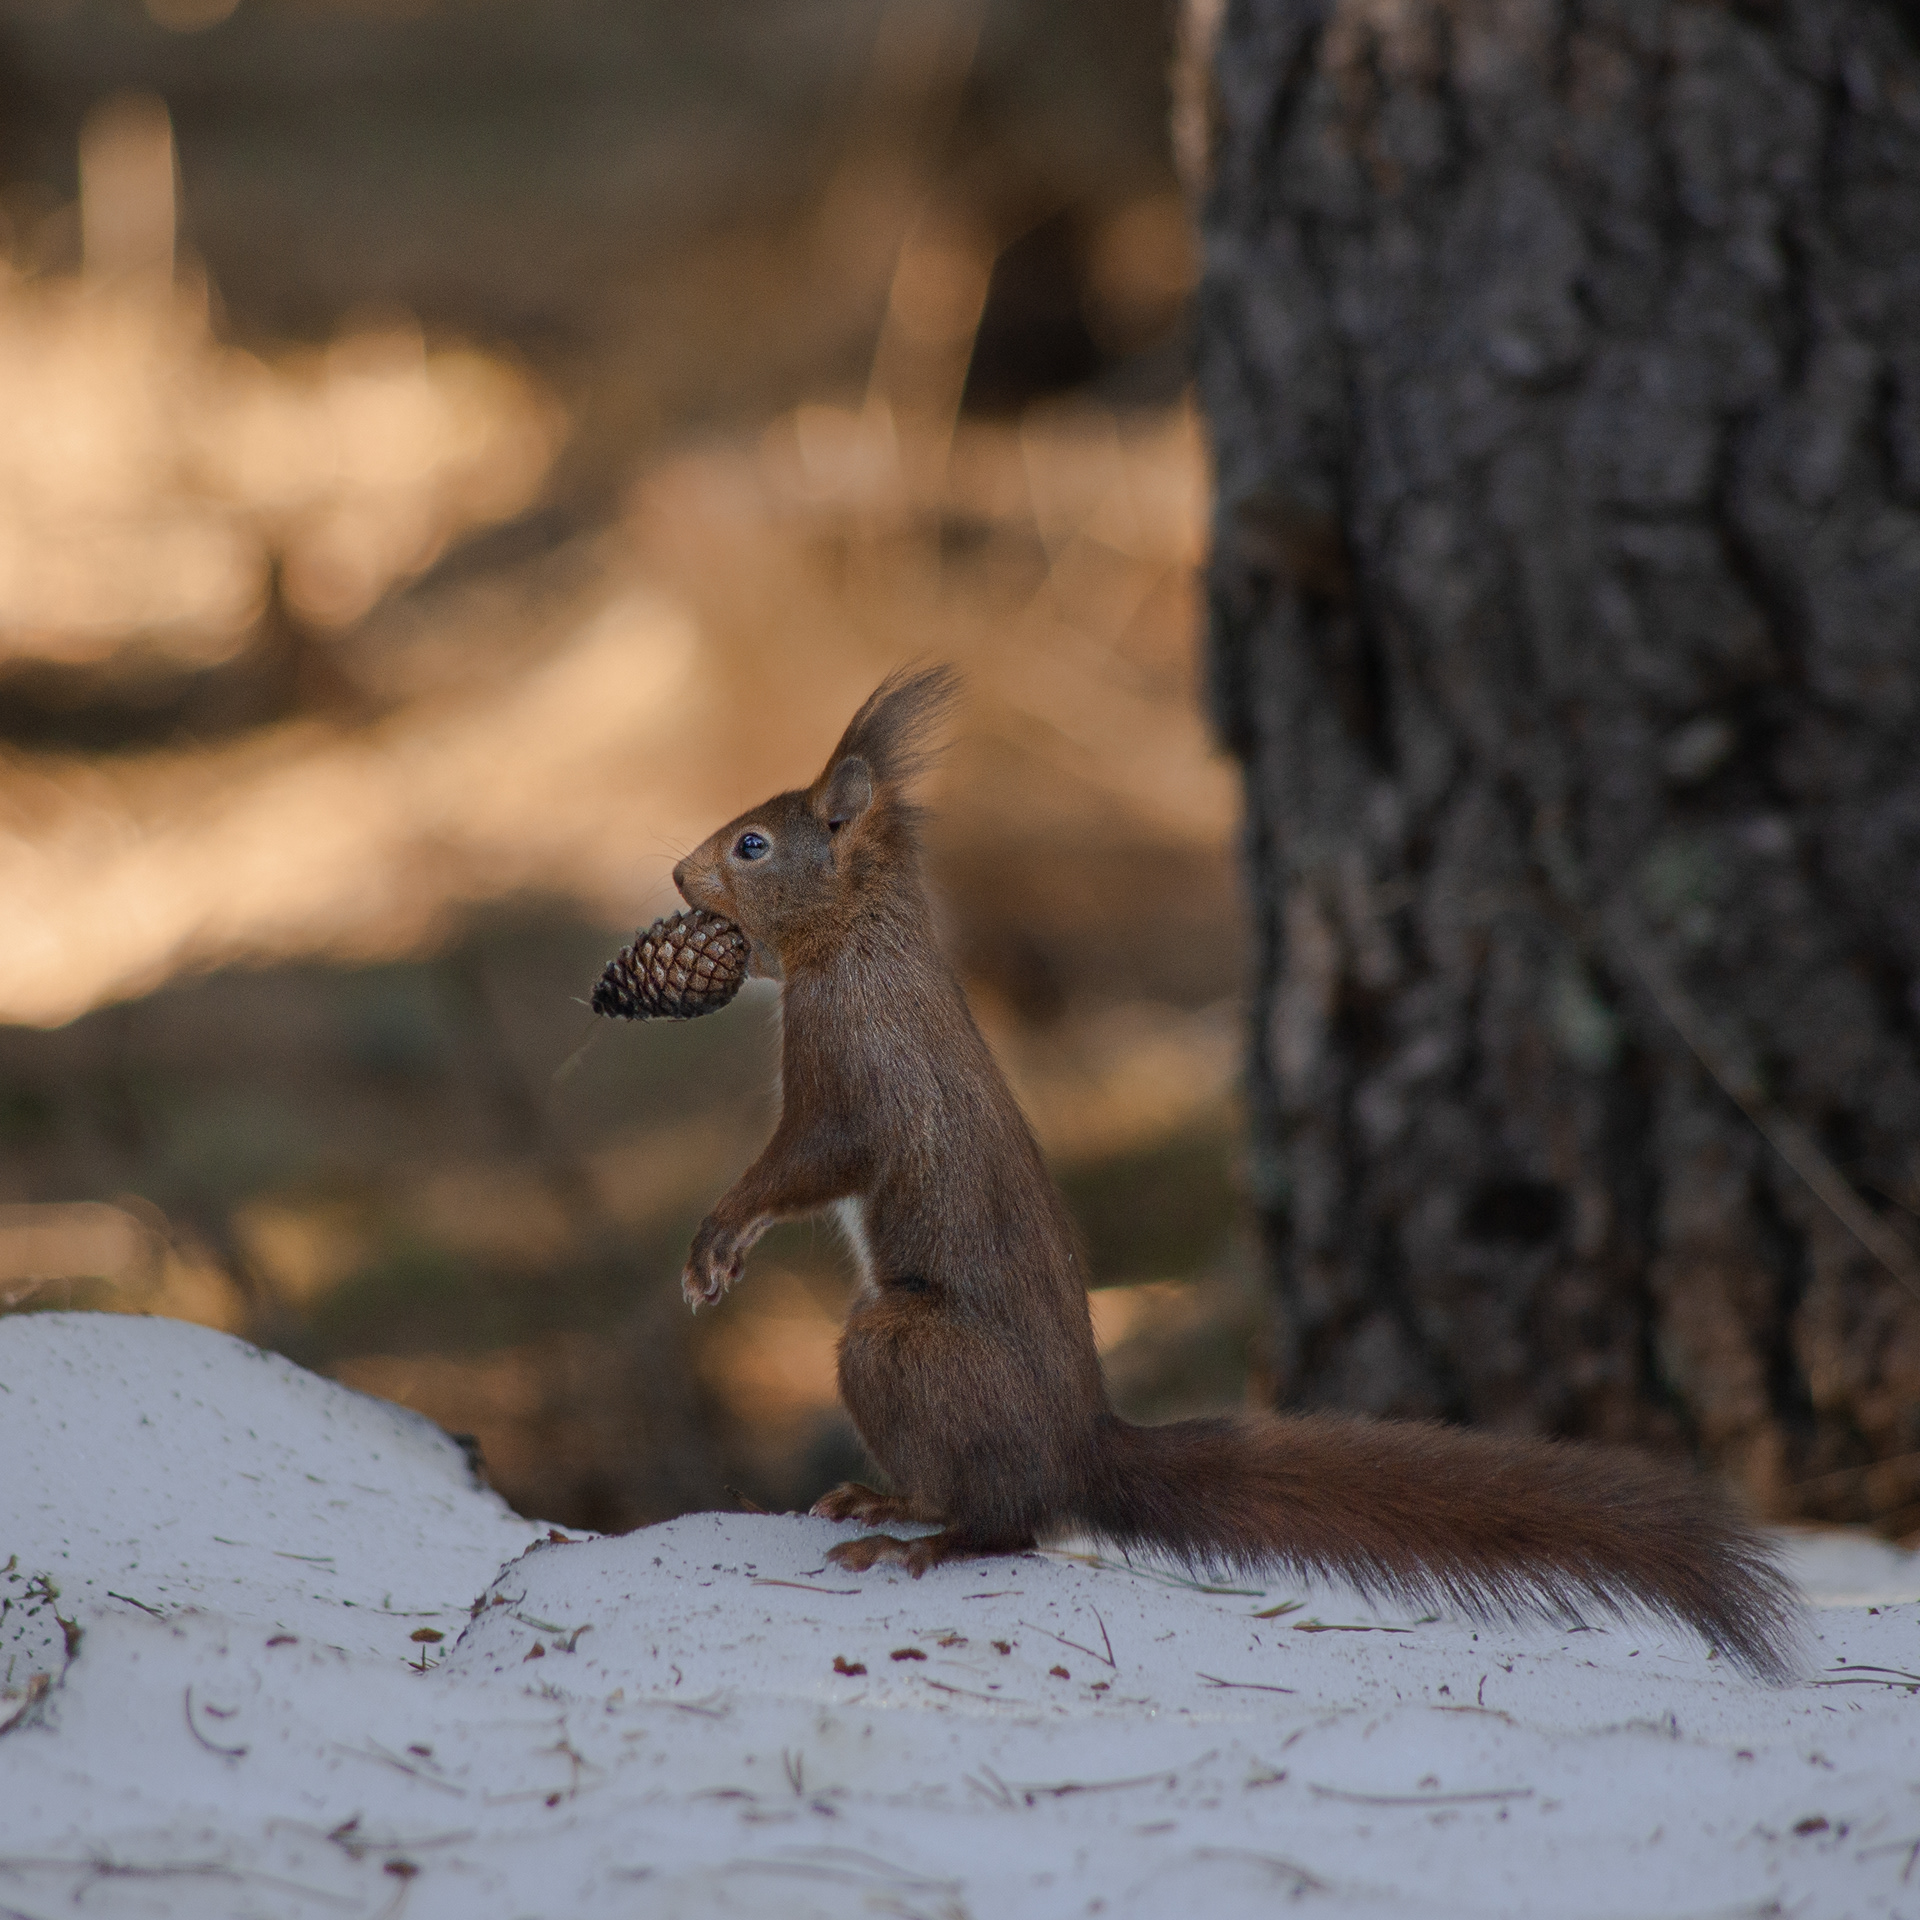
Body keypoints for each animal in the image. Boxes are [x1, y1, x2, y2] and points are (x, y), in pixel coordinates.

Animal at [669, 665, 1798, 1679]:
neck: (863, 942)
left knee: (1008, 1524)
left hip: (904, 1348)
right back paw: (886, 1499)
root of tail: (1080, 1448)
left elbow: (809, 1160)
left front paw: (718, 1238)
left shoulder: (855, 1076)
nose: (679, 876)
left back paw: (920, 1537)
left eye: (754, 845)